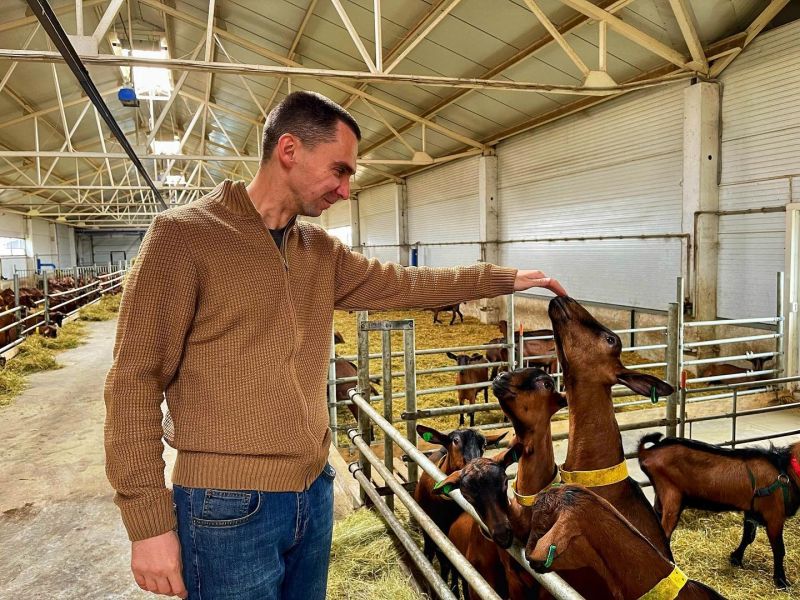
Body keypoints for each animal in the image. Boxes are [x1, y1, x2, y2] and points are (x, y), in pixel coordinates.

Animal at [636, 434, 800, 588]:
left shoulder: (751, 511)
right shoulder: (775, 516)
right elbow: (779, 549)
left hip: (661, 499)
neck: (786, 470)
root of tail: (648, 452)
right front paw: (781, 581)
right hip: (672, 495)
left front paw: (735, 558)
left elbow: (748, 537)